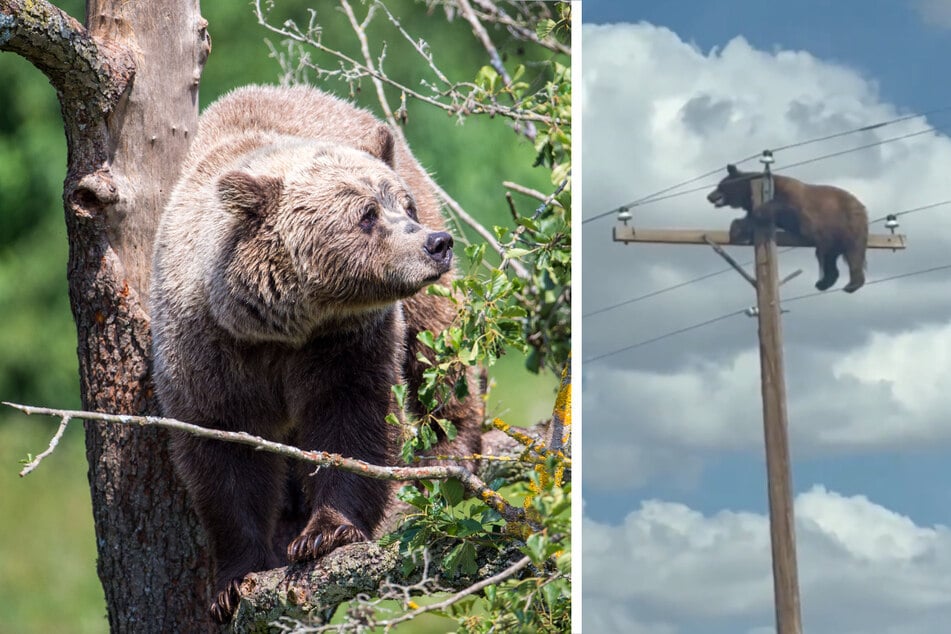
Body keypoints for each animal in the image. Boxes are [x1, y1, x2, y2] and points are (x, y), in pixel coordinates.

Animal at [150, 84, 484, 624]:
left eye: (403, 206)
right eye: (367, 214)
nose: (436, 244)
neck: (282, 325)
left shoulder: (345, 343)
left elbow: (353, 420)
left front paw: (325, 532)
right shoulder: (207, 351)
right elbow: (222, 452)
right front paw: (234, 579)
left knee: (438, 348)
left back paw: (449, 450)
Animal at [707, 164, 869, 293]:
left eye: (719, 185)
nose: (709, 196)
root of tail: (861, 206)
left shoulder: (793, 198)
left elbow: (781, 207)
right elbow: (750, 220)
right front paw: (736, 230)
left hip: (848, 223)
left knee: (853, 252)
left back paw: (851, 284)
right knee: (829, 255)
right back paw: (825, 283)